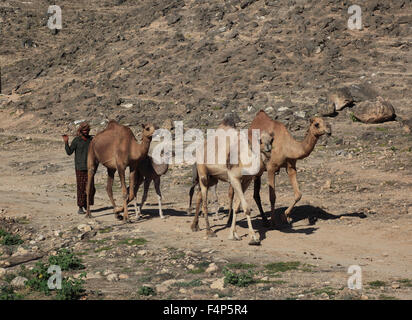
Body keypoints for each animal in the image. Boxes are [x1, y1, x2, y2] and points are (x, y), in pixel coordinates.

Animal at [190, 117, 274, 245]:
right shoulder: (234, 178)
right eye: (260, 140)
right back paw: (209, 232)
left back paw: (195, 226)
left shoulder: (246, 181)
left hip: (212, 178)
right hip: (203, 173)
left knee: (199, 196)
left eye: (272, 139)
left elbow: (236, 206)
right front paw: (253, 238)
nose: (269, 149)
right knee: (204, 202)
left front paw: (233, 234)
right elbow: (246, 207)